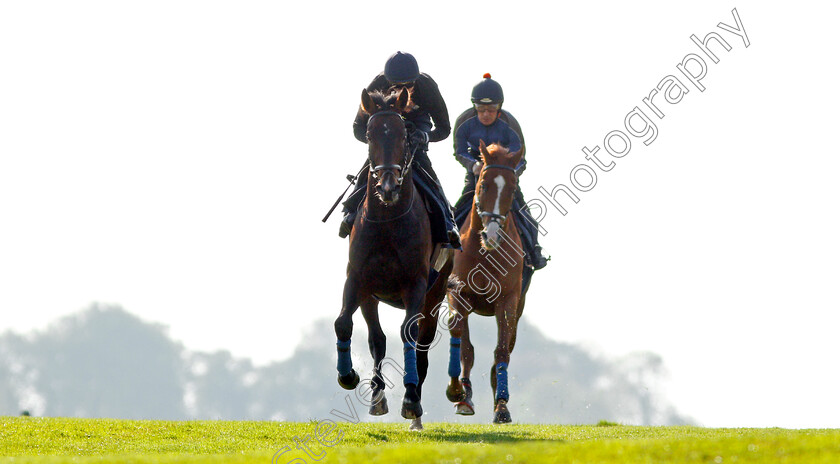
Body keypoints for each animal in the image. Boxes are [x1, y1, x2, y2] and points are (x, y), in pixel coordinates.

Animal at [334, 88, 452, 432]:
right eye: (370, 135)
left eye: (403, 135)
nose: (387, 186)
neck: (388, 220)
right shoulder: (357, 279)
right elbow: (343, 323)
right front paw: (348, 375)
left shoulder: (416, 285)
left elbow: (407, 335)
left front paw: (411, 400)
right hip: (372, 296)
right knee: (378, 339)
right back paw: (377, 396)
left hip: (434, 297)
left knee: (421, 347)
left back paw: (416, 410)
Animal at [442, 140, 528, 424]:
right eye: (483, 184)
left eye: (512, 187)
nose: (492, 235)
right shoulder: (458, 294)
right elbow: (465, 346)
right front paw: (461, 396)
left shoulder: (508, 301)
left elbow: (501, 350)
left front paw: (501, 406)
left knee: (507, 348)